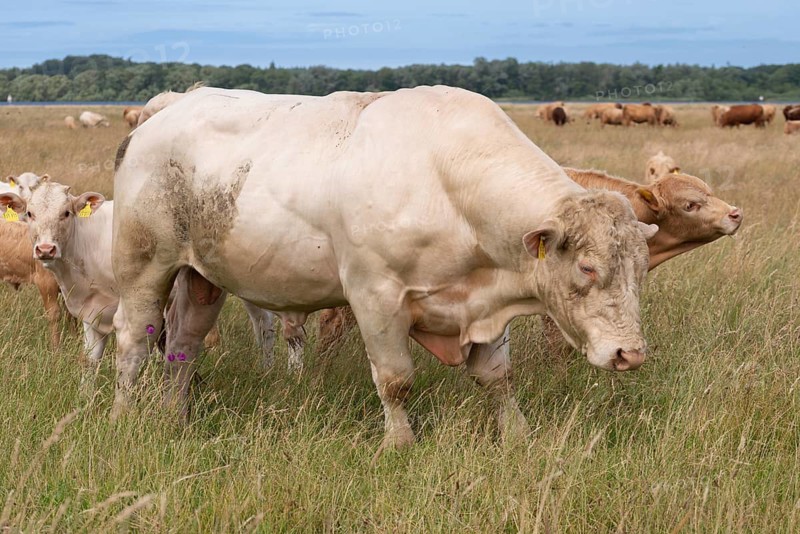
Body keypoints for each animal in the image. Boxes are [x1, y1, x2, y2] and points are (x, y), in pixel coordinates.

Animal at [111, 86, 656, 453]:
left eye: (641, 269)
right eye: (587, 267)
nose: (629, 354)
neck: (445, 180)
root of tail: (174, 103)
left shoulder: (484, 305)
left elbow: (498, 377)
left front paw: (516, 435)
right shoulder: (375, 296)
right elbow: (395, 380)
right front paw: (400, 443)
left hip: (202, 277)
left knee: (184, 344)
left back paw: (174, 415)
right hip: (142, 265)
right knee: (135, 338)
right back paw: (123, 416)